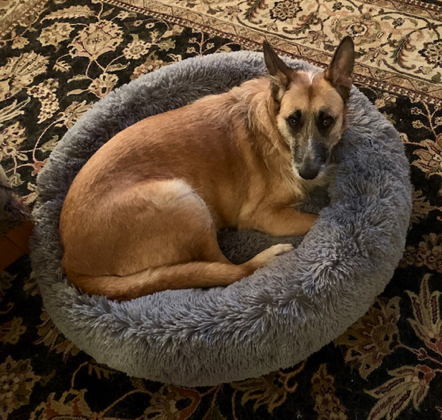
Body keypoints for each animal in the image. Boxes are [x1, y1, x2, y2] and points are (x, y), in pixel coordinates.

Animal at [59, 35, 356, 298]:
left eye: (326, 121)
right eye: (293, 120)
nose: (307, 172)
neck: (273, 127)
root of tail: (73, 265)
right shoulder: (261, 215)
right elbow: (317, 218)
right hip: (184, 200)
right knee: (226, 269)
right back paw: (265, 258)